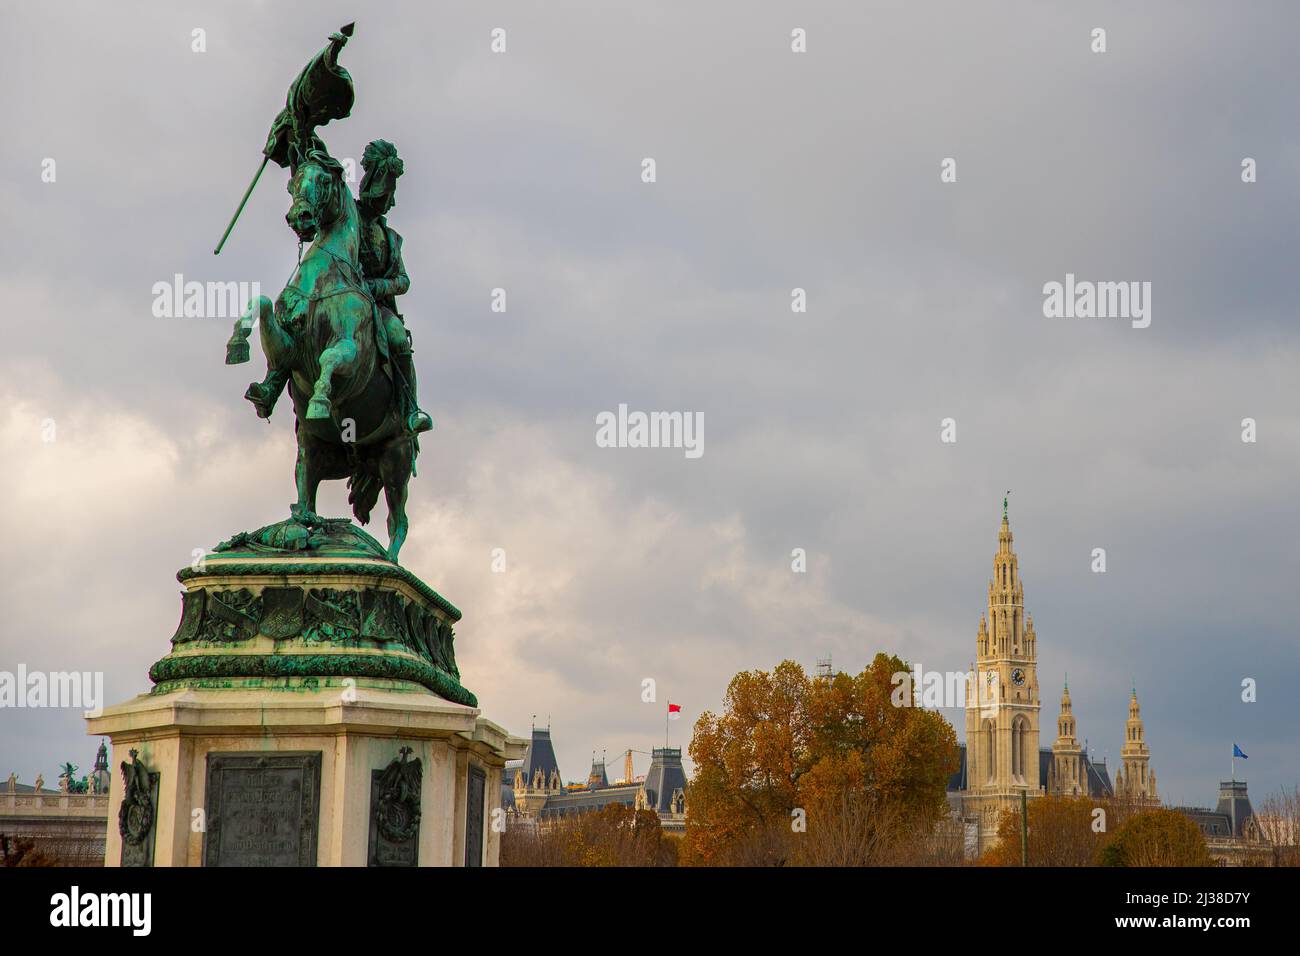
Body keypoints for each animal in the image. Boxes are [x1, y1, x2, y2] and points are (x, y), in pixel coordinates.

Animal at [226, 153, 418, 564]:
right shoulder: (289, 347)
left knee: (399, 520)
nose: (299, 217)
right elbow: (260, 305)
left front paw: (318, 399)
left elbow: (331, 357)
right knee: (305, 496)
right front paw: (240, 350)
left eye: (323, 180)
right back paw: (303, 530)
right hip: (312, 448)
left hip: (396, 458)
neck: (328, 276)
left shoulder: (352, 352)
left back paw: (388, 559)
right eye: (293, 181)